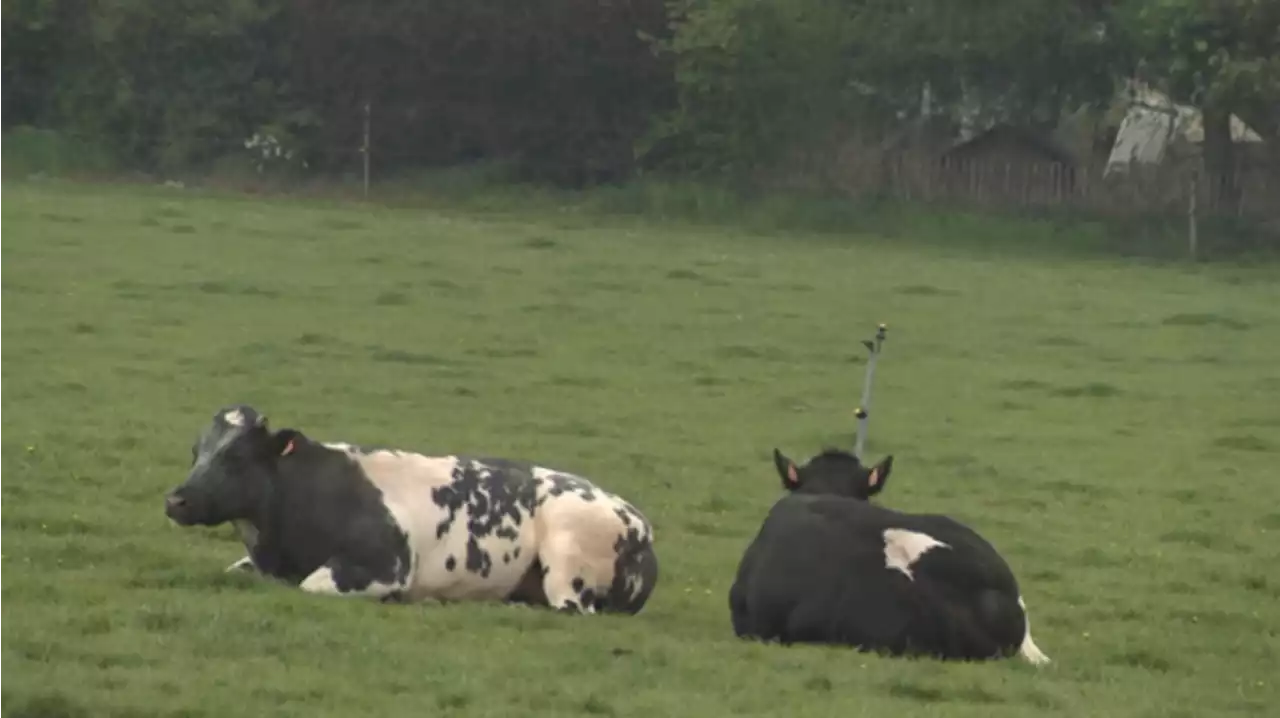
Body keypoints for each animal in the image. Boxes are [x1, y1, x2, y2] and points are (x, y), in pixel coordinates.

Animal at [162, 406, 660, 614]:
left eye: (236, 456)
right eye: (196, 452)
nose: (176, 500)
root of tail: (639, 523)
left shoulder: (382, 565)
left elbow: (311, 586)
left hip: (567, 560)